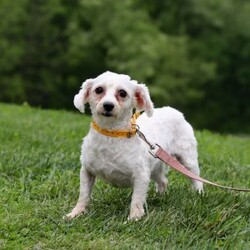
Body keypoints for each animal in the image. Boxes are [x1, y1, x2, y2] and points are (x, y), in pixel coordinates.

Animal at [65, 71, 203, 220]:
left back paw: (199, 194)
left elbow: (136, 200)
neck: (112, 134)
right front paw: (76, 213)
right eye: (99, 90)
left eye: (122, 93)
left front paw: (134, 218)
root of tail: (175, 111)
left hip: (187, 159)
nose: (108, 105)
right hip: (155, 165)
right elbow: (84, 195)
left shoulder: (141, 176)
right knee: (163, 181)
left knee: (196, 178)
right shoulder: (87, 171)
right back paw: (161, 197)